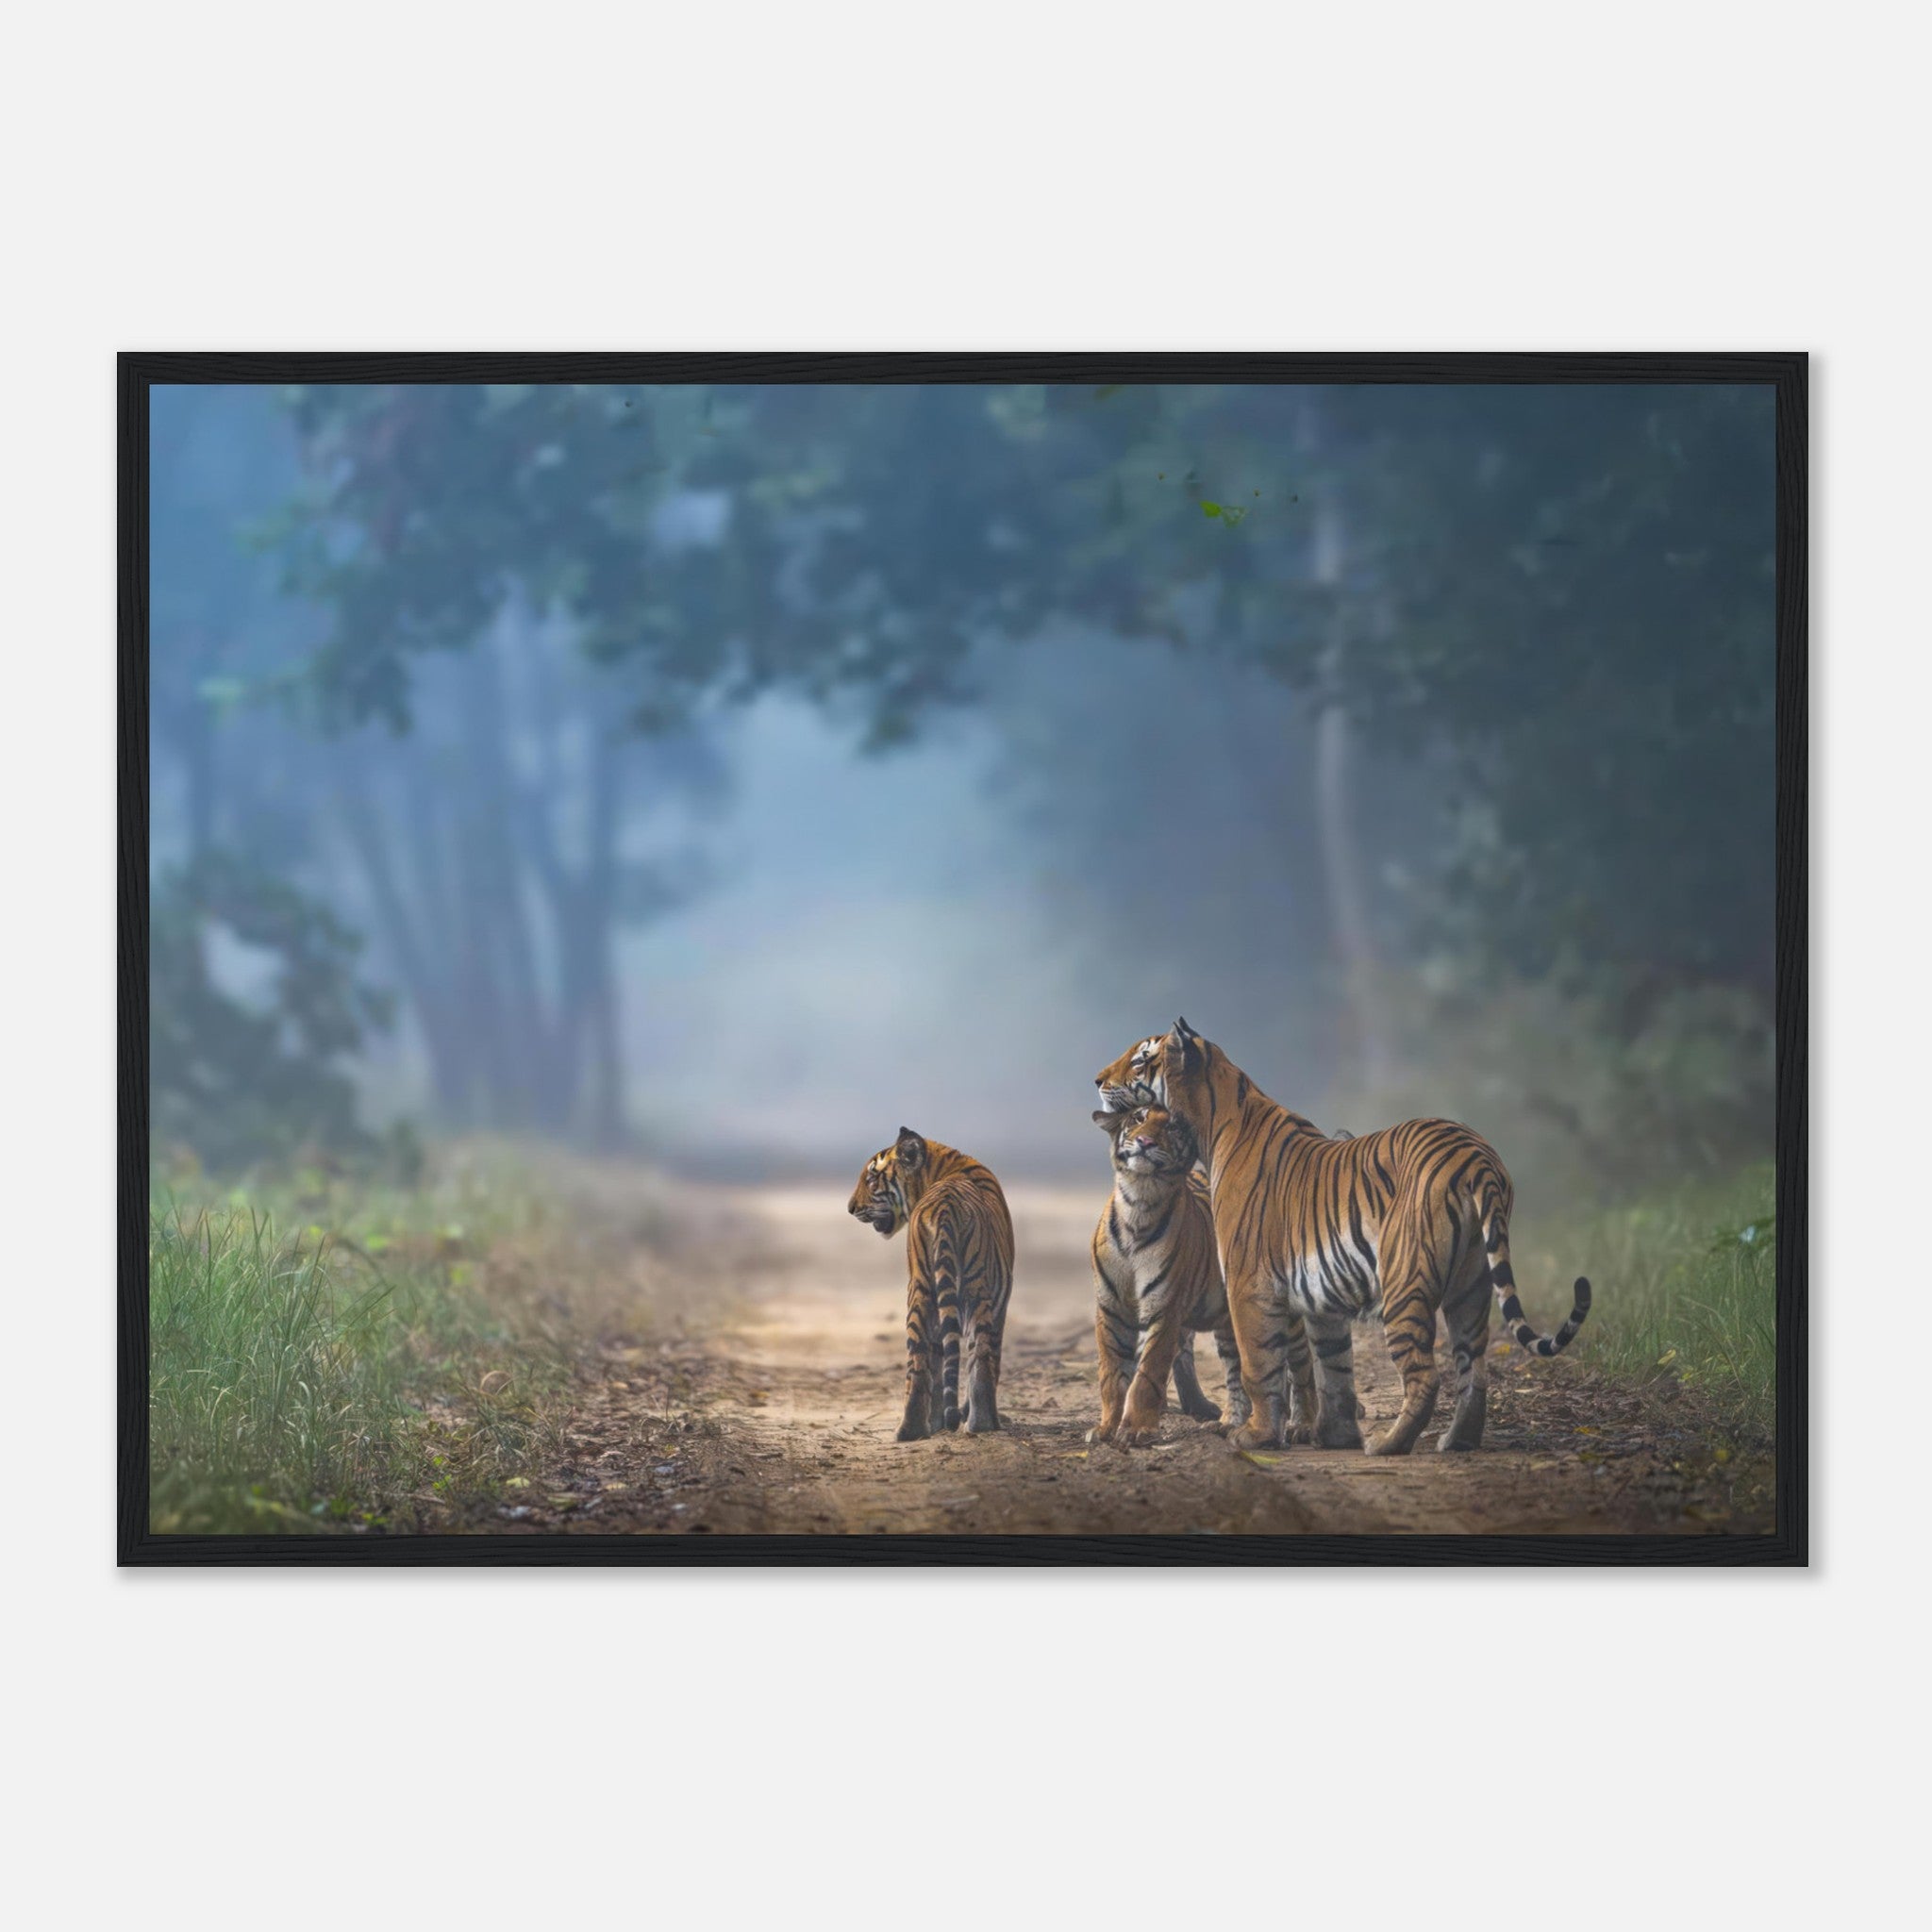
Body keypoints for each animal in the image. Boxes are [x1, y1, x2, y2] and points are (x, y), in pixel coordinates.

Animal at [848, 1126, 1015, 1441]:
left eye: (871, 1179)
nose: (851, 1208)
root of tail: (945, 1206)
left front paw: (939, 1421)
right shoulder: (1001, 1304)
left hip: (923, 1289)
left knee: (922, 1359)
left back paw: (911, 1430)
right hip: (970, 1288)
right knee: (975, 1358)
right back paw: (980, 1423)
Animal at [1089, 1104, 1271, 1447]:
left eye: (1172, 1127)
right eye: (1138, 1119)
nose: (1145, 1141)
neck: (1139, 1201)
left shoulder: (1164, 1309)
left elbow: (1148, 1373)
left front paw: (1136, 1429)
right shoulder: (1111, 1309)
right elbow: (1112, 1374)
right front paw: (1106, 1428)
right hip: (1227, 1323)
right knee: (1235, 1370)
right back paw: (1228, 1423)